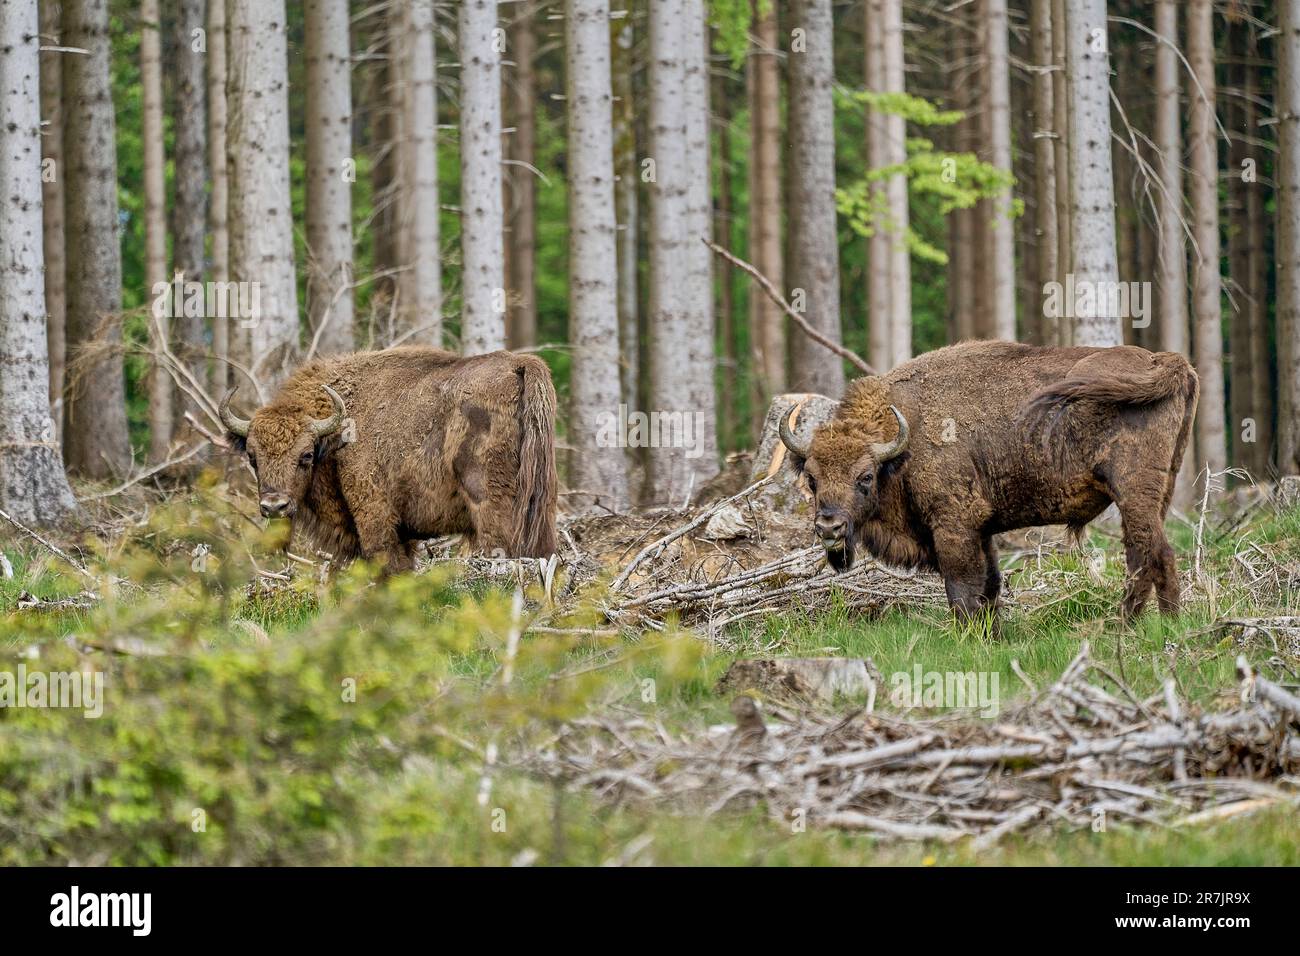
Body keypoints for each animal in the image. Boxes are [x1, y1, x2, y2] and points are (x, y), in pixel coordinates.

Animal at [217, 345, 559, 567]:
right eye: (252, 456)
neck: (338, 431)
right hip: (540, 507)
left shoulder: (376, 519)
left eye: (306, 455)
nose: (274, 506)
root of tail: (520, 364)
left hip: (491, 507)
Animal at [780, 340, 1196, 624]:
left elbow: (963, 589)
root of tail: (1167, 361)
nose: (829, 526)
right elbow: (990, 588)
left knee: (1151, 554)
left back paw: (1137, 627)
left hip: (1133, 492)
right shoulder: (982, 531)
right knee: (1150, 556)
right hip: (1161, 488)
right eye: (812, 479)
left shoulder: (954, 526)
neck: (903, 444)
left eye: (865, 476)